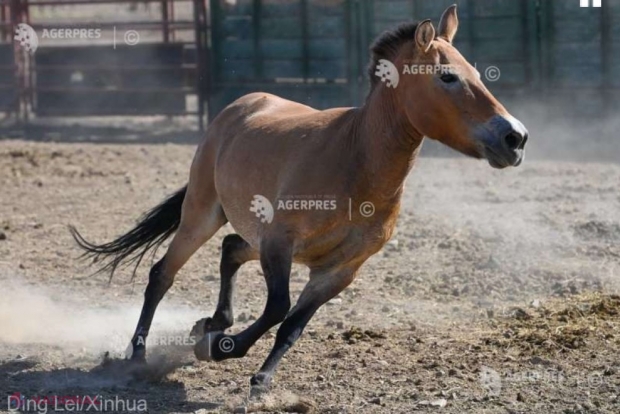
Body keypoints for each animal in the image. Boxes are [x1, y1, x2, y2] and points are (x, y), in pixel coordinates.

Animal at [72, 5, 528, 394]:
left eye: (476, 73)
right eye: (447, 76)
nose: (515, 137)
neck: (355, 160)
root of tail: (241, 106)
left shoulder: (339, 270)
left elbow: (293, 324)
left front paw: (257, 375)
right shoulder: (280, 243)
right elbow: (278, 307)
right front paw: (219, 347)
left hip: (249, 231)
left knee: (231, 248)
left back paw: (212, 322)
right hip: (203, 213)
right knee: (162, 274)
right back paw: (138, 354)